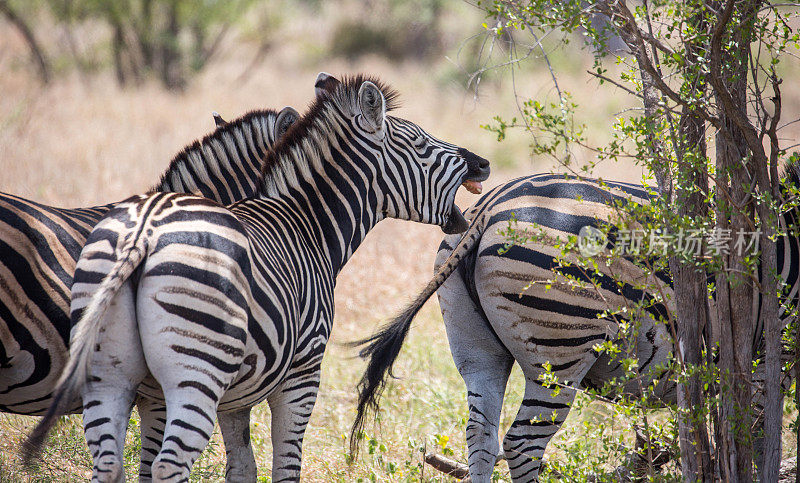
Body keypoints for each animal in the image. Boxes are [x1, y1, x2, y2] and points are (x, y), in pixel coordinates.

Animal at [354, 170, 800, 483]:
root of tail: (487, 209)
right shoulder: (769, 357)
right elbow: (760, 442)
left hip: (475, 348)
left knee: (480, 437)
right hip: (560, 350)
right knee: (522, 444)